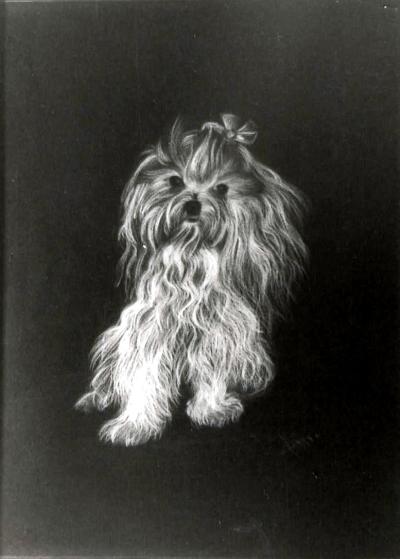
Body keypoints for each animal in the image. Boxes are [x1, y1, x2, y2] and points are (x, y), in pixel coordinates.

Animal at [76, 114, 307, 446]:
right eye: (175, 181)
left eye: (222, 188)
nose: (193, 204)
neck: (189, 254)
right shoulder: (149, 331)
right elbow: (144, 376)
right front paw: (136, 425)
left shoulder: (217, 333)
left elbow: (211, 373)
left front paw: (211, 410)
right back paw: (96, 397)